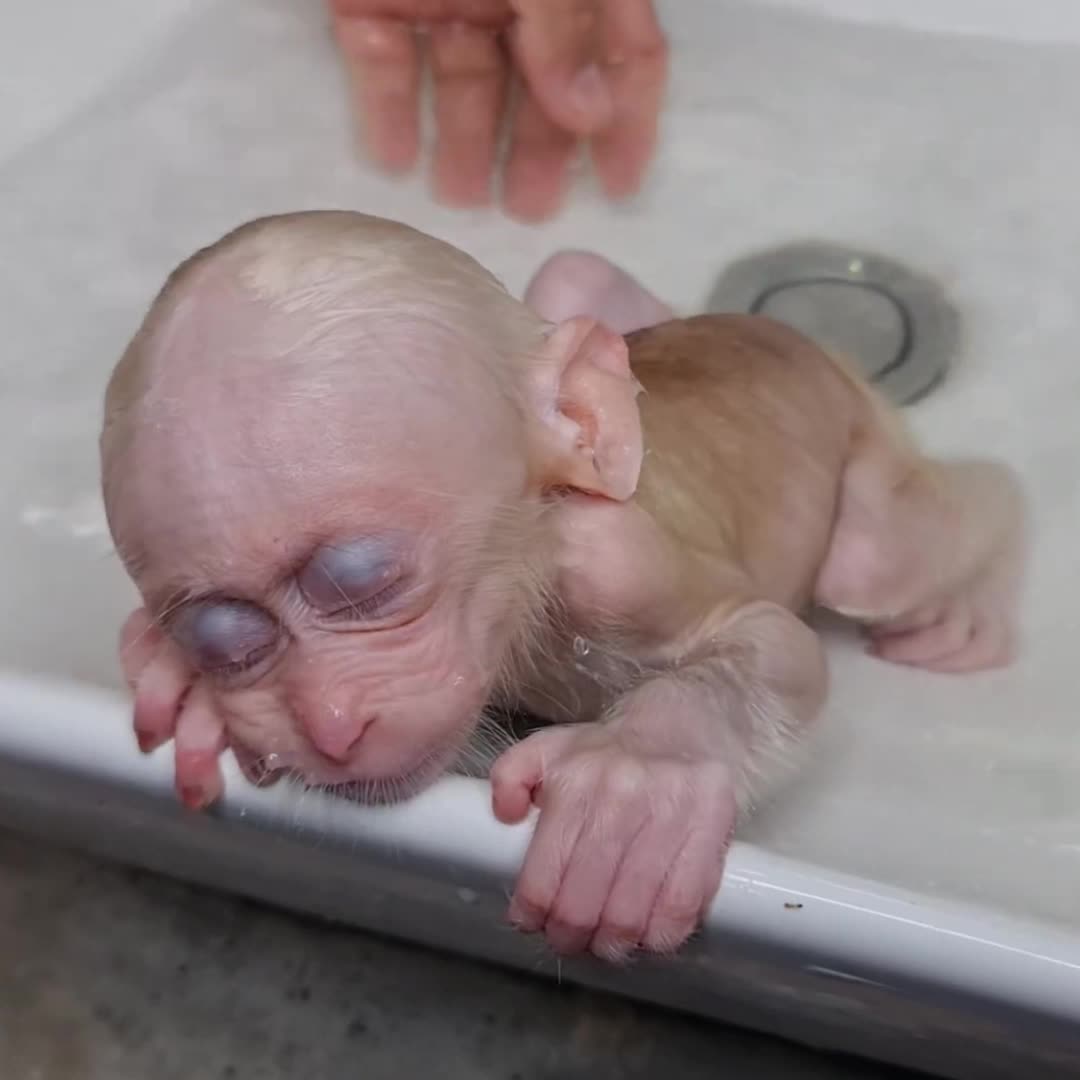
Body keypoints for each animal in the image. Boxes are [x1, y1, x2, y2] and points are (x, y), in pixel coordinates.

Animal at [100, 211, 1026, 962]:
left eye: (365, 589)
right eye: (225, 640)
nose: (328, 725)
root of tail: (782, 331)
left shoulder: (614, 565)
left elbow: (770, 642)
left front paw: (642, 778)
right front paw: (182, 689)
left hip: (859, 444)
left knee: (878, 559)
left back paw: (984, 560)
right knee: (573, 279)